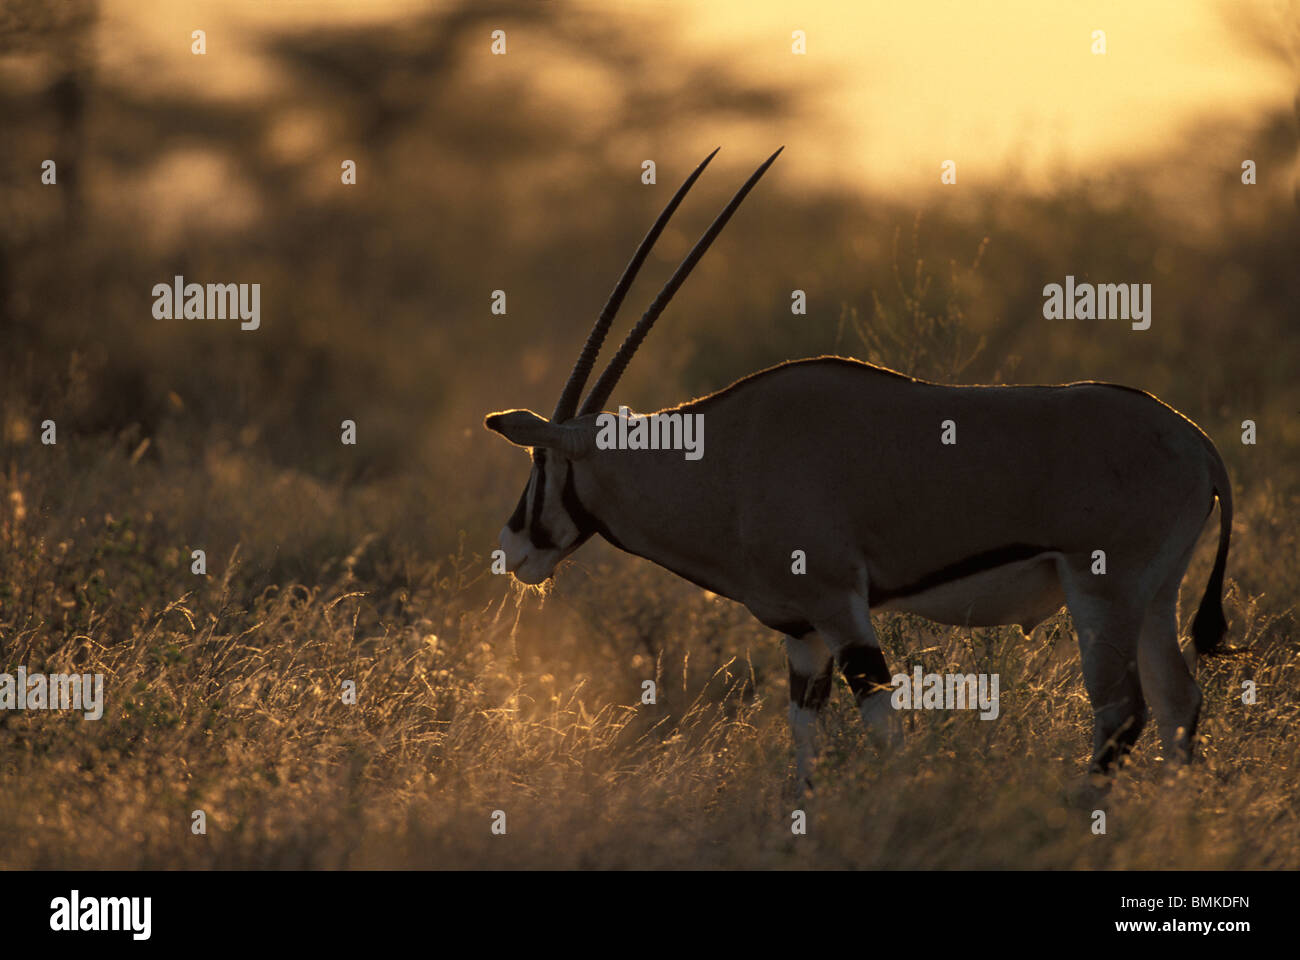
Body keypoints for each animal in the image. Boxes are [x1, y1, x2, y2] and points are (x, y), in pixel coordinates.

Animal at [483, 145, 1232, 780]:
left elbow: (883, 724)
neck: (724, 456)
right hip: (1154, 597)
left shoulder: (838, 605)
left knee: (1121, 713)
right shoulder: (802, 632)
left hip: (1104, 591)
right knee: (1177, 704)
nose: (514, 548)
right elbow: (803, 735)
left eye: (540, 459)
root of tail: (1195, 439)